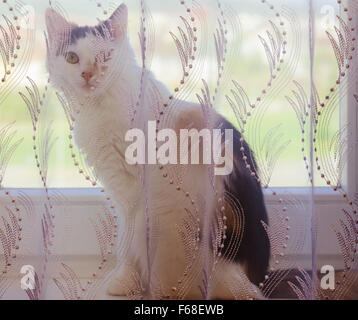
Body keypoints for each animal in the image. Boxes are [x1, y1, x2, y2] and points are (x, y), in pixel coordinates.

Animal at [45, 3, 268, 300]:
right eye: (72, 58)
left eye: (104, 56)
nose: (87, 74)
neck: (99, 106)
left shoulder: (132, 192)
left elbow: (126, 241)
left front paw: (124, 280)